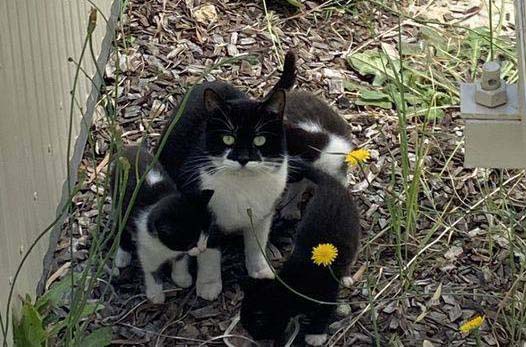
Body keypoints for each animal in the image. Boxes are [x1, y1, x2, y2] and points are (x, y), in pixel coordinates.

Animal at [111, 147, 214, 304]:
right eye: (190, 243)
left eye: (206, 232)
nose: (202, 248)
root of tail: (127, 149)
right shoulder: (147, 250)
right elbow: (152, 271)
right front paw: (155, 294)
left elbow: (180, 259)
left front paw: (181, 277)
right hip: (119, 206)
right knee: (121, 227)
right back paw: (122, 255)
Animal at [243, 165, 364, 346]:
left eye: (255, 328)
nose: (254, 339)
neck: (292, 287)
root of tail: (330, 184)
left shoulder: (326, 292)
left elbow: (323, 313)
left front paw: (315, 334)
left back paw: (346, 276)